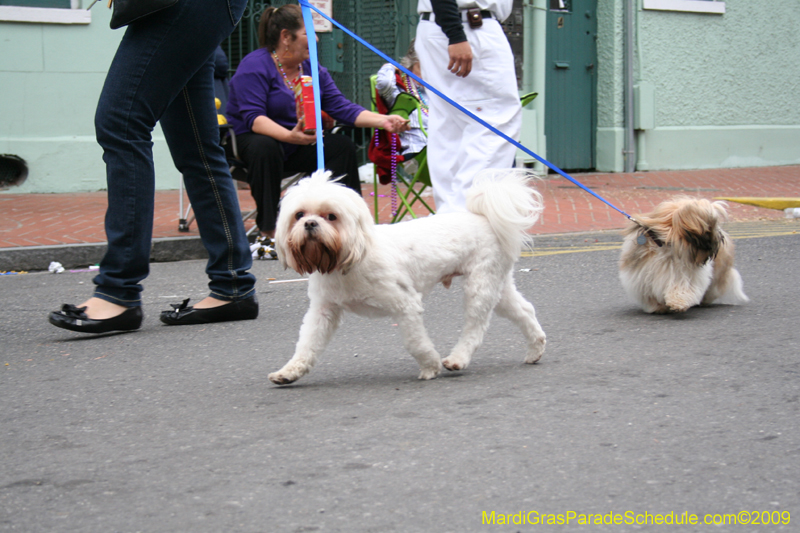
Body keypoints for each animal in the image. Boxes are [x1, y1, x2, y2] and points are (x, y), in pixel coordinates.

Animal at [268, 169, 544, 382]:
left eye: (331, 216)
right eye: (299, 215)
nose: (310, 224)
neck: (348, 259)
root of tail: (484, 217)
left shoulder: (406, 304)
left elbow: (414, 342)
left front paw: (430, 366)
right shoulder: (323, 310)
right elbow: (307, 344)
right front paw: (288, 372)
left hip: (480, 285)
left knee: (475, 327)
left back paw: (457, 358)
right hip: (497, 283)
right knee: (524, 310)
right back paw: (535, 348)